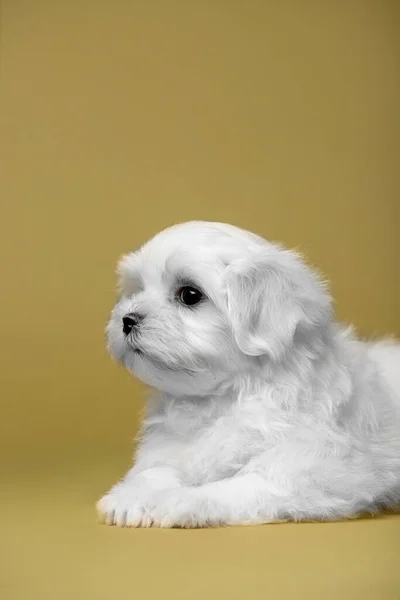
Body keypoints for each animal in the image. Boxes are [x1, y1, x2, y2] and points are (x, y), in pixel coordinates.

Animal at [97, 223, 400, 528]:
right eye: (137, 289)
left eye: (190, 295)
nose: (127, 320)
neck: (223, 397)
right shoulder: (171, 448)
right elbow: (156, 470)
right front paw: (132, 495)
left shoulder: (311, 467)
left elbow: (238, 486)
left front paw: (179, 499)